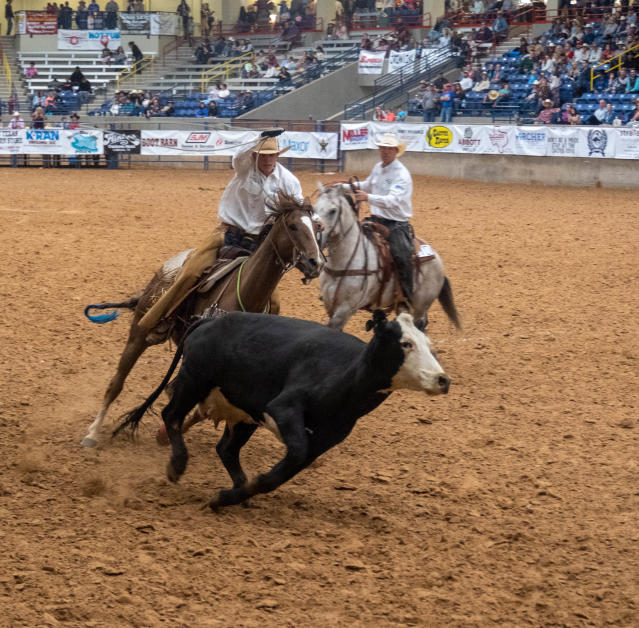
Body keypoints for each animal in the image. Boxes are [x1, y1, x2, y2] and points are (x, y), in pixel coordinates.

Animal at [81, 196, 320, 446]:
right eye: (293, 226)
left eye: (317, 228)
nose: (315, 263)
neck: (245, 293)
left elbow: (207, 408)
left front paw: (166, 434)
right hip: (141, 330)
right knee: (116, 382)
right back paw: (93, 433)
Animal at [119, 310, 450, 510]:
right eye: (405, 343)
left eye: (429, 344)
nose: (442, 380)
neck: (344, 374)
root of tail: (209, 321)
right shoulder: (283, 408)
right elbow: (294, 453)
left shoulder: (324, 440)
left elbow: (284, 471)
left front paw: (228, 496)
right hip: (193, 381)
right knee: (171, 416)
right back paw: (177, 466)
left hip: (244, 415)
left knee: (226, 449)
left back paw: (238, 489)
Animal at [314, 185, 460, 334]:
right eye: (315, 208)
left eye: (333, 211)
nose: (318, 239)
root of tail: (437, 259)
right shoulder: (330, 306)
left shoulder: (345, 309)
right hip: (402, 305)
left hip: (420, 305)